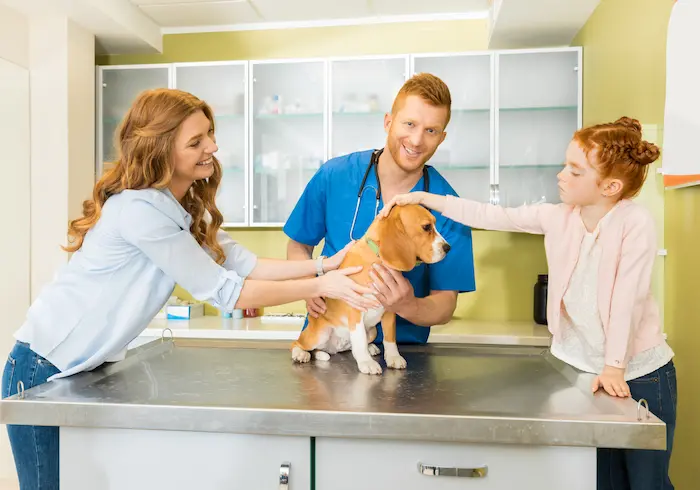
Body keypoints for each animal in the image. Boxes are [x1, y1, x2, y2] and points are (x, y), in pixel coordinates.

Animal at [288, 203, 448, 376]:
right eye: (426, 227)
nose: (448, 247)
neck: (377, 259)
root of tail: (334, 348)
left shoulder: (390, 310)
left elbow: (390, 338)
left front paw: (393, 357)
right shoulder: (355, 309)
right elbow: (359, 340)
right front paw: (366, 362)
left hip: (372, 331)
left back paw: (370, 348)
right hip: (318, 335)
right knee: (298, 343)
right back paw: (301, 353)